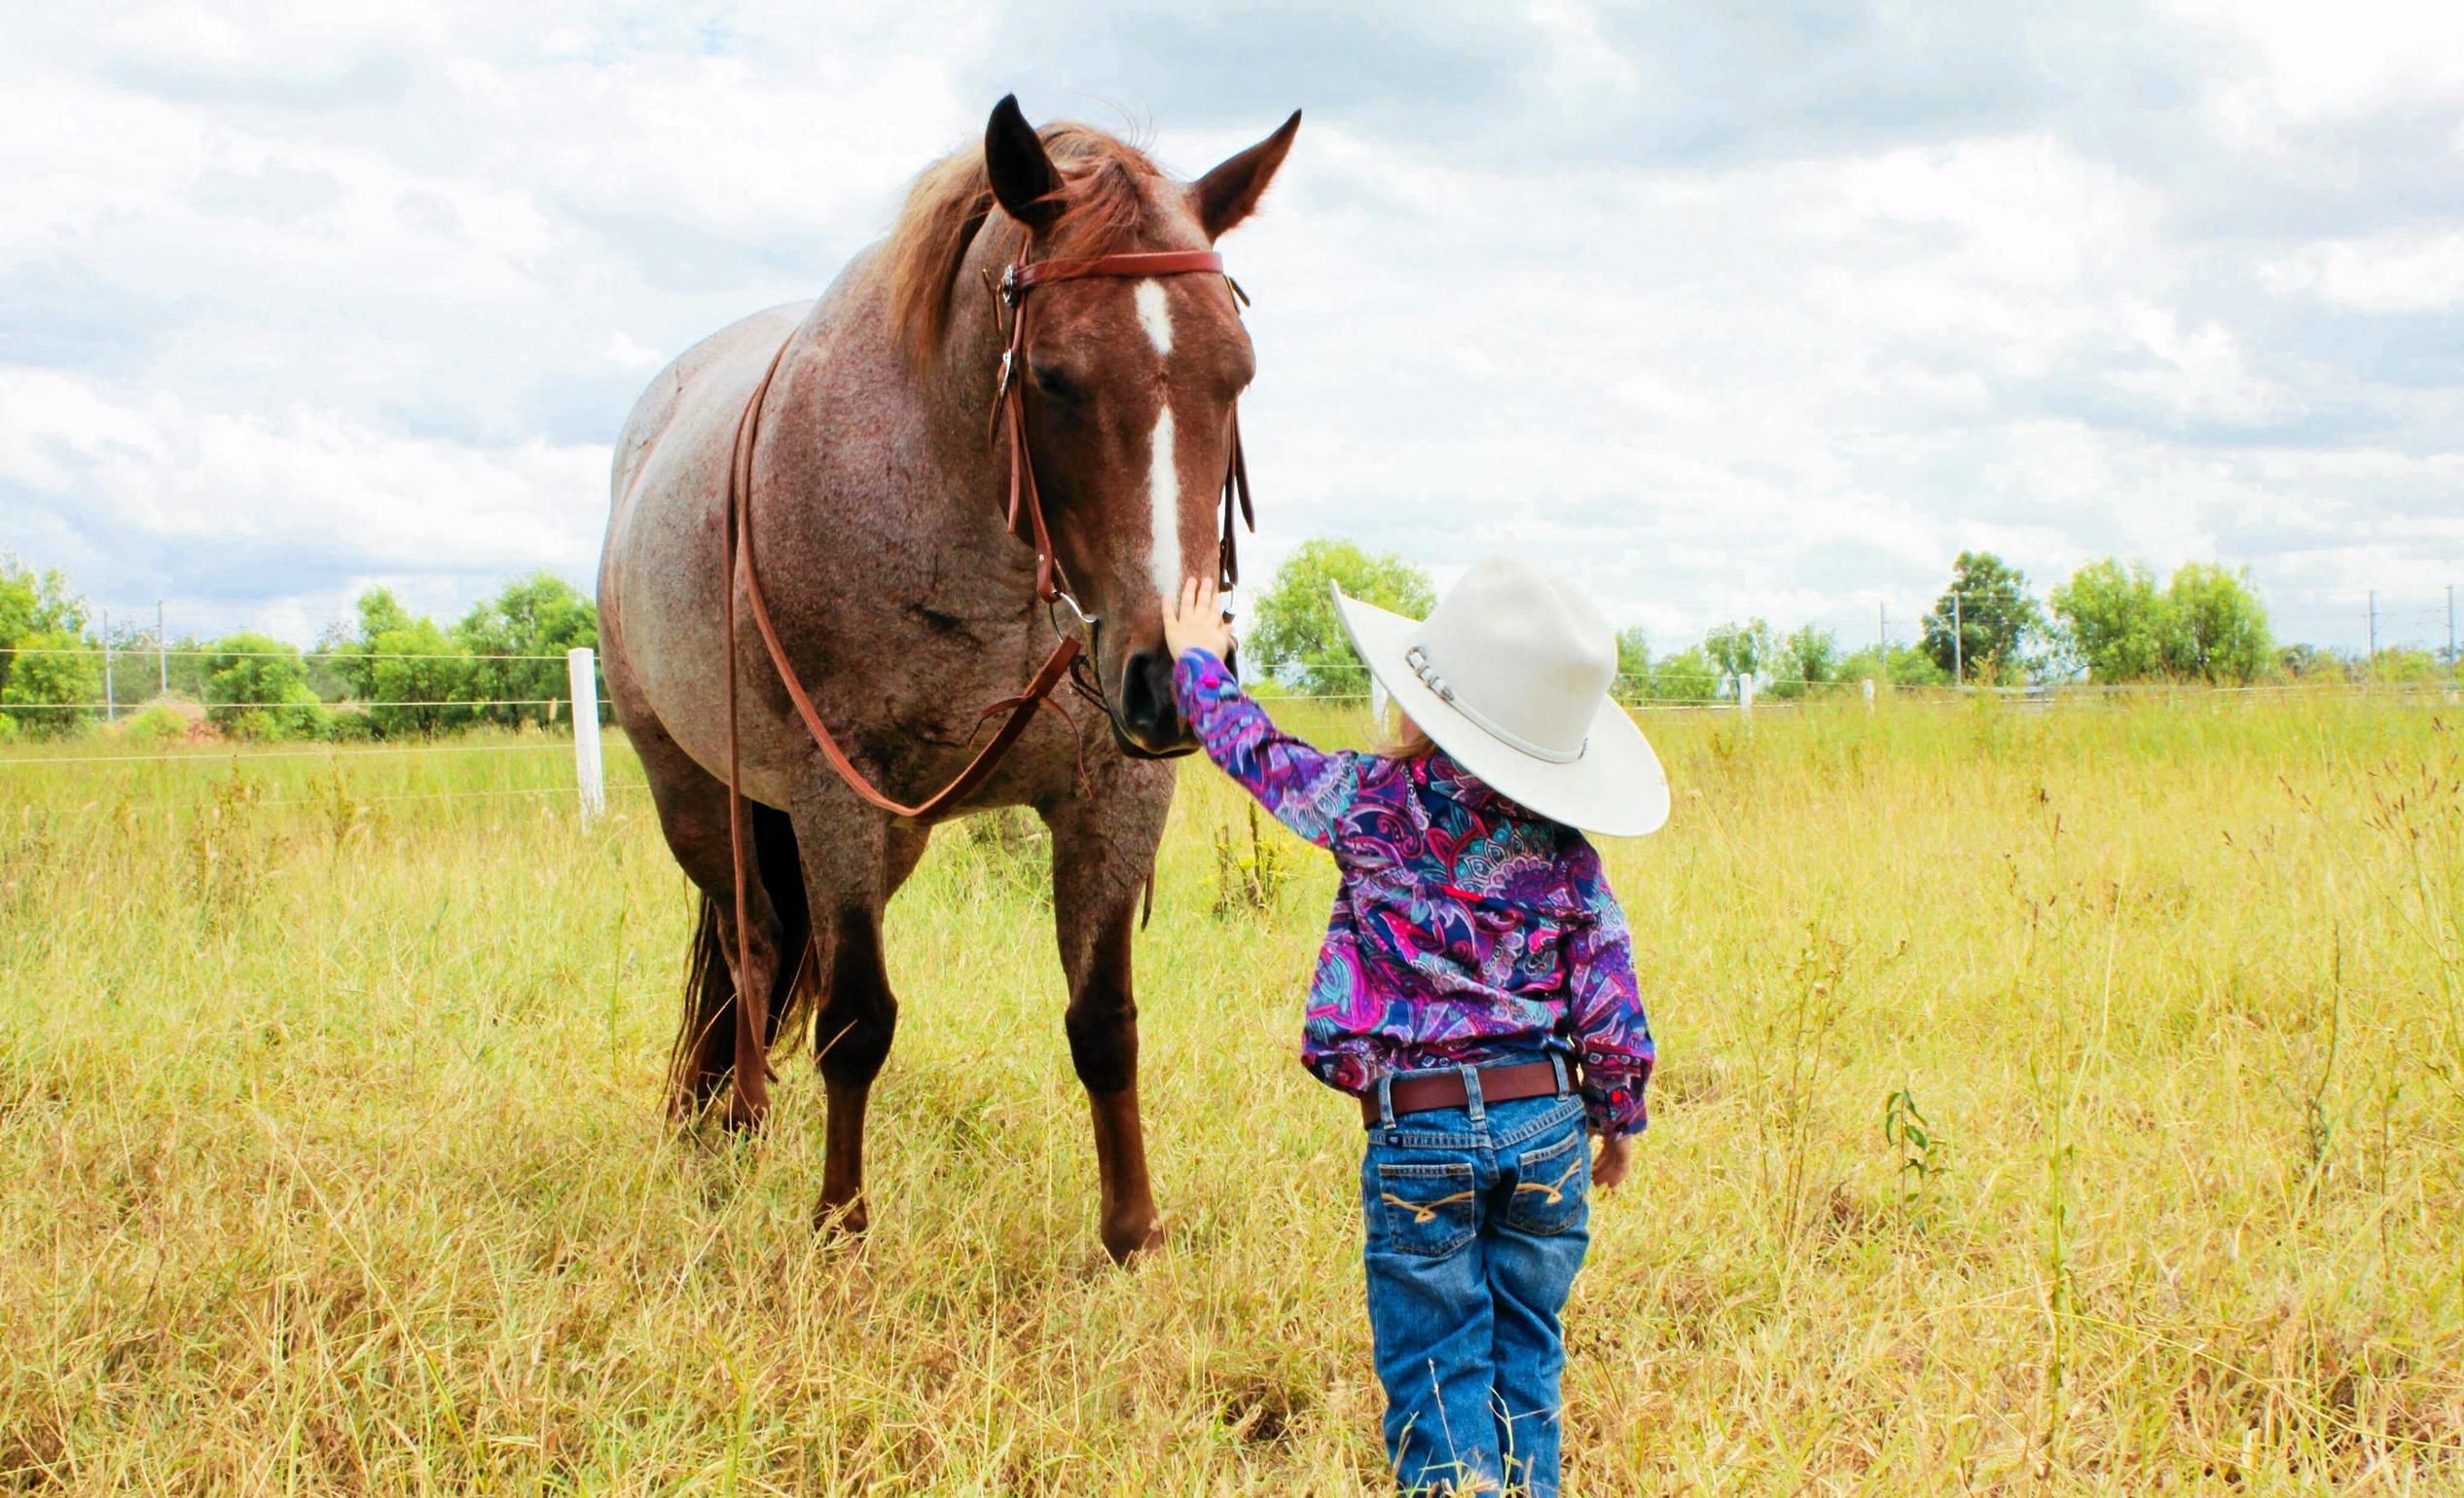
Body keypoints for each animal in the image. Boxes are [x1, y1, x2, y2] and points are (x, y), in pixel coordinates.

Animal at [594, 96, 1300, 1261]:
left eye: (1237, 371)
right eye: (1053, 377)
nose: (1170, 679)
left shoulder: (1118, 789)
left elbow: (1104, 1021)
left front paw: (1132, 1237)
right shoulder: (837, 793)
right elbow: (853, 1019)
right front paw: (840, 1226)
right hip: (705, 797)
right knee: (749, 946)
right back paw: (732, 1124)